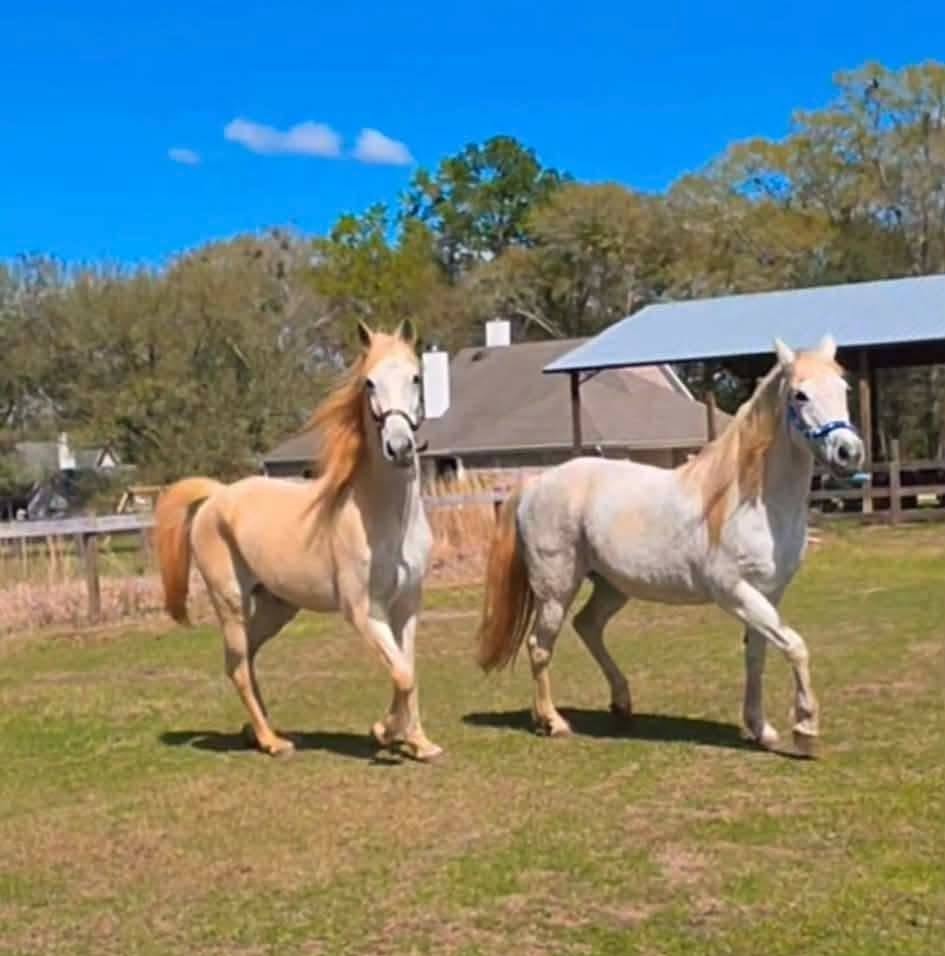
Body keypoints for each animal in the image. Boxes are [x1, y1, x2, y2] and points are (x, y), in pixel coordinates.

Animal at [154, 319, 442, 761]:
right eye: (369, 383)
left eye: (416, 377)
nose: (399, 448)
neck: (384, 518)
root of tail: (216, 496)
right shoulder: (364, 612)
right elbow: (402, 674)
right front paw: (384, 732)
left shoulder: (407, 605)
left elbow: (408, 671)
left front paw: (417, 742)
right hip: (231, 603)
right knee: (237, 665)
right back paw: (273, 742)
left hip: (277, 607)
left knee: (248, 657)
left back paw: (259, 732)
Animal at [475, 335, 864, 757]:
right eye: (800, 395)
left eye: (843, 389)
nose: (849, 453)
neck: (750, 502)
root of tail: (535, 484)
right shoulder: (734, 592)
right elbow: (795, 646)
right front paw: (805, 730)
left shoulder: (768, 594)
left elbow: (757, 656)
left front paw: (761, 729)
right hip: (556, 590)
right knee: (540, 645)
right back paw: (553, 722)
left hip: (612, 587)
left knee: (588, 626)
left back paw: (620, 705)